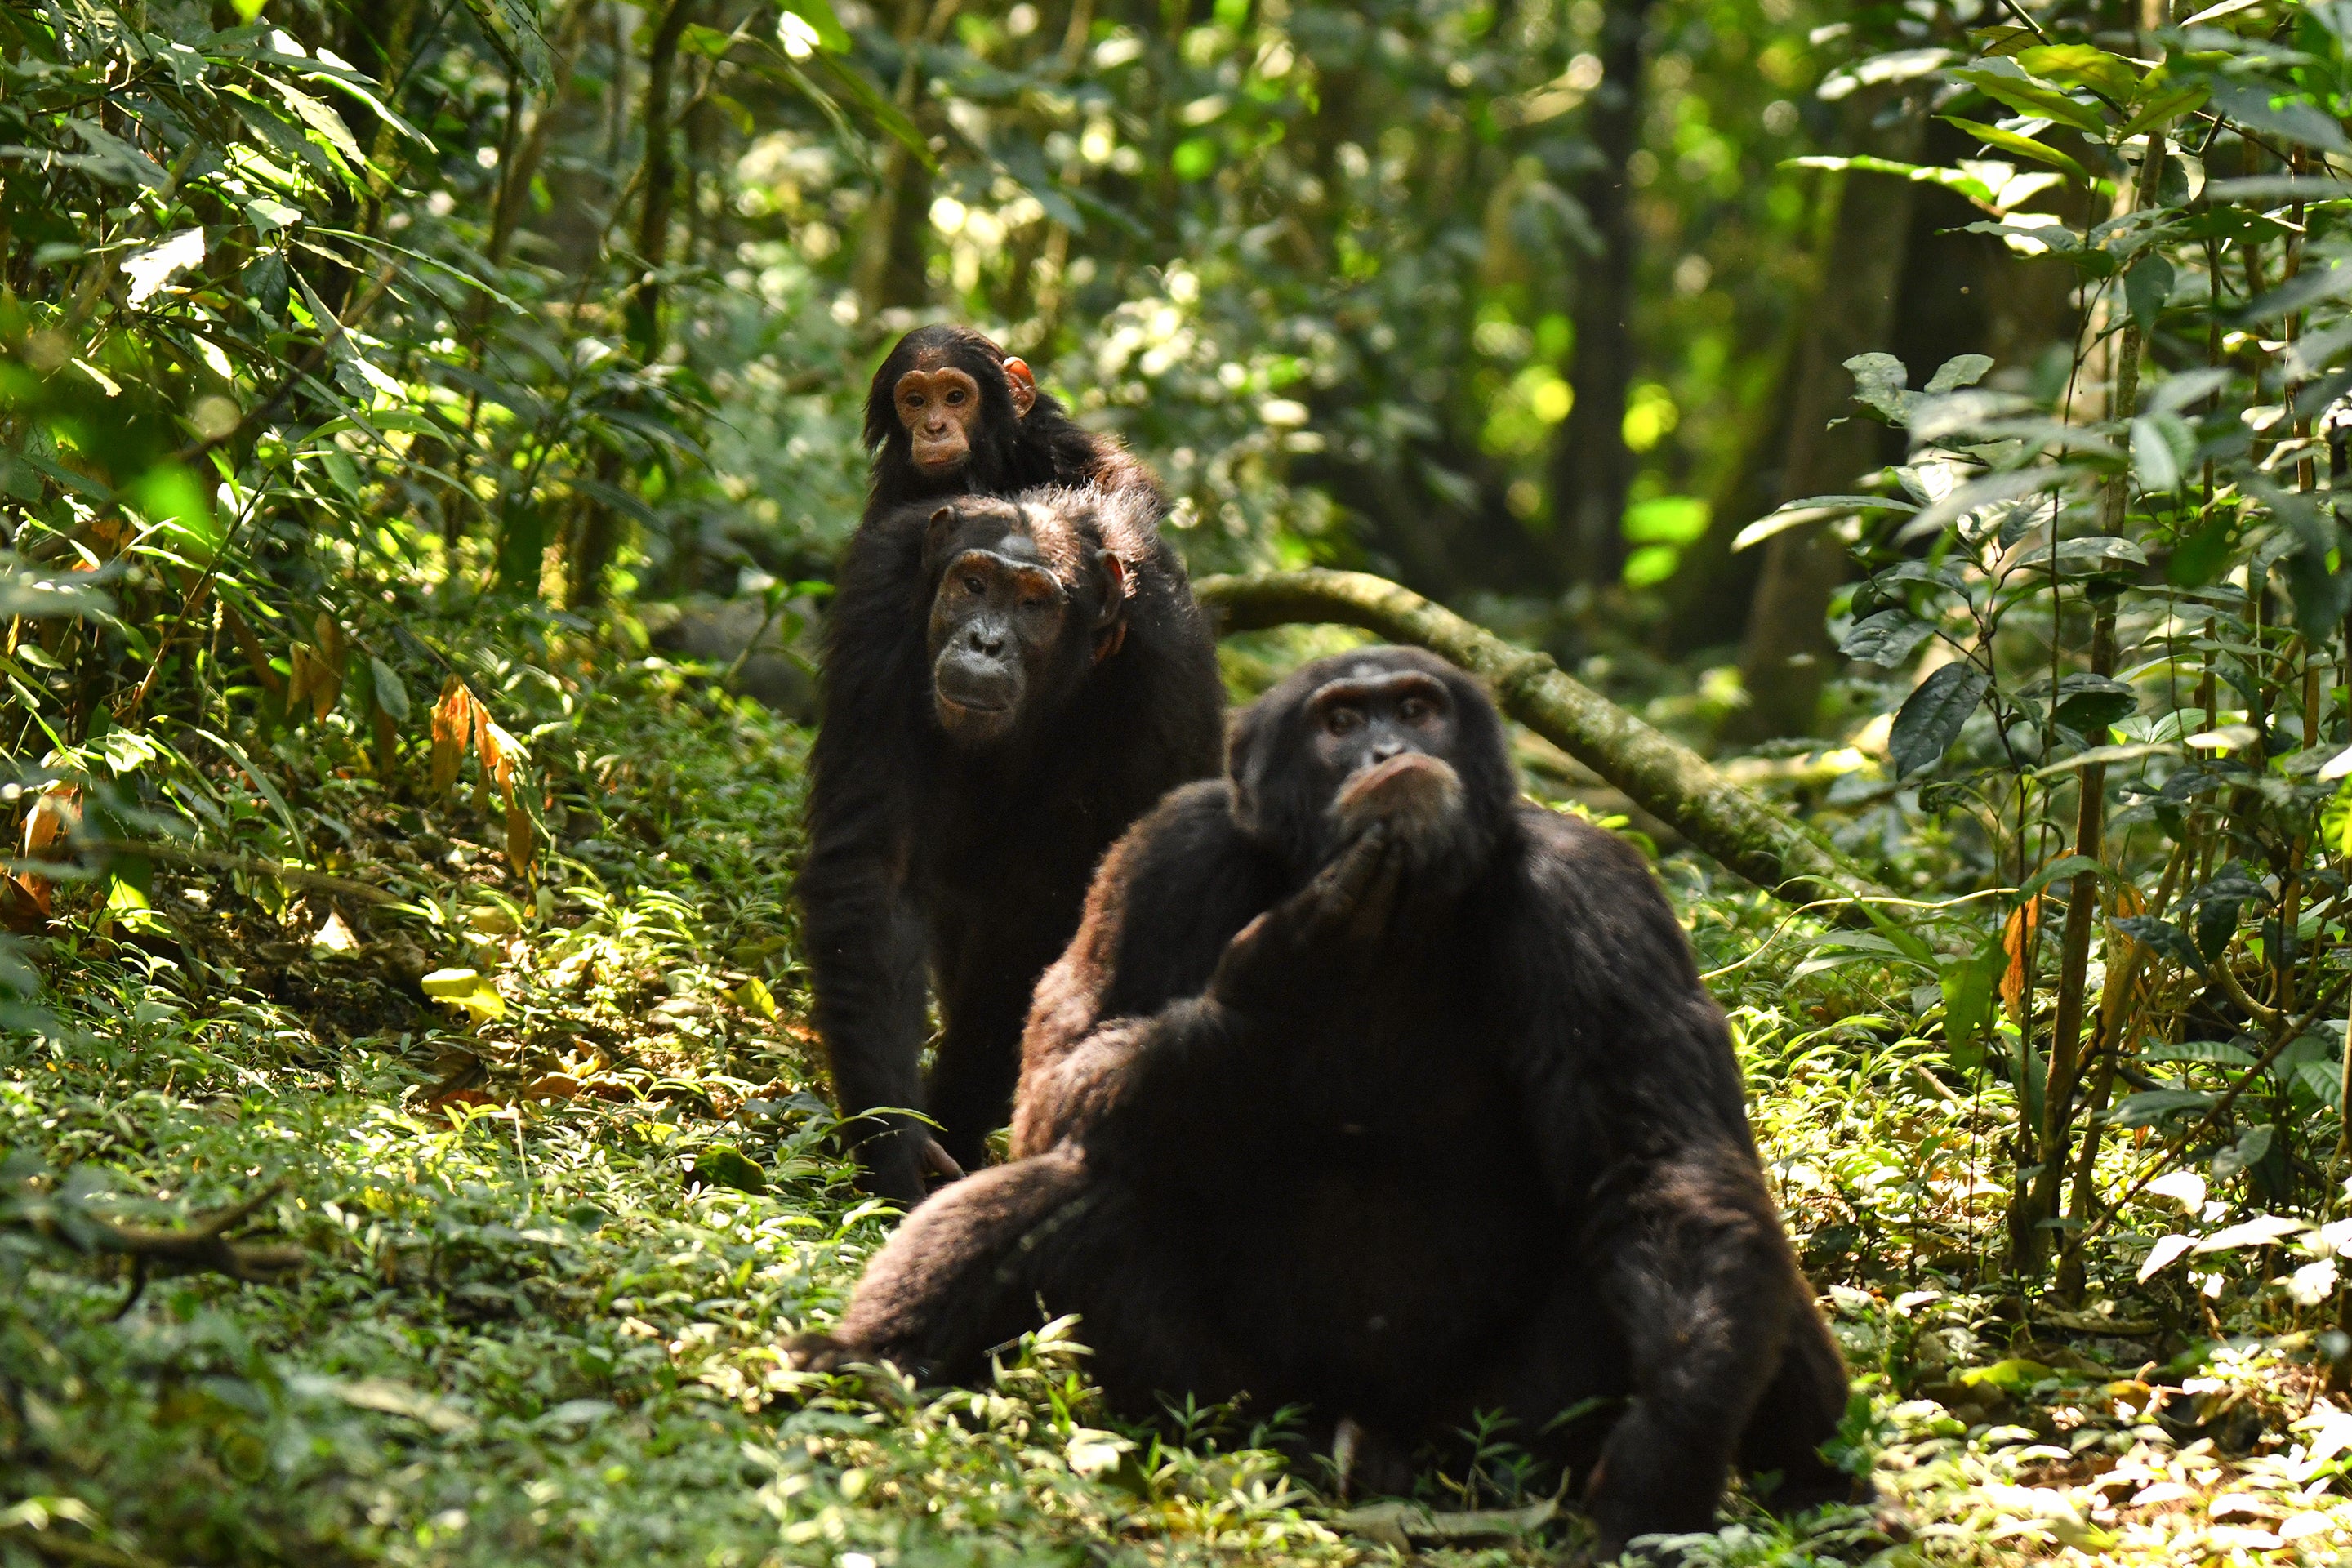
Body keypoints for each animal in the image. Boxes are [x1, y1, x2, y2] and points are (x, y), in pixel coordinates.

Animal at [790, 648, 1853, 1561]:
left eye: (1416, 708)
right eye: (1342, 721)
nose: (1390, 750)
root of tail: (1363, 1451)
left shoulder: (1595, 895)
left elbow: (1659, 1156)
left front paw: (1663, 1466)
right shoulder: (1163, 855)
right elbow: (1057, 1076)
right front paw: (1279, 974)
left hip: (1493, 1440)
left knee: (1692, 1239)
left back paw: (1828, 1498)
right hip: (1212, 1406)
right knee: (1072, 1182)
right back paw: (859, 1362)